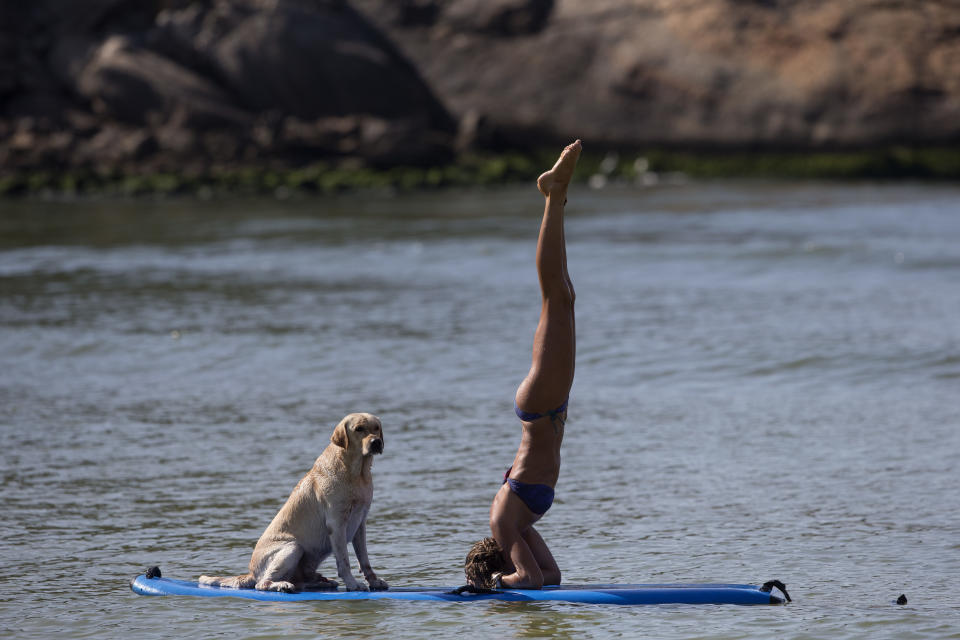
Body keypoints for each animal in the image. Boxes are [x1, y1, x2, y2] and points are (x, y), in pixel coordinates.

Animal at [199, 412, 390, 592]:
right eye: (359, 429)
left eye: (376, 428)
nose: (376, 442)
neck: (357, 473)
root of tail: (251, 573)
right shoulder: (336, 524)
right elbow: (344, 561)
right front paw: (352, 583)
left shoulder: (360, 523)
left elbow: (364, 560)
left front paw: (374, 581)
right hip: (293, 547)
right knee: (262, 583)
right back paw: (282, 585)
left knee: (299, 581)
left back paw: (318, 582)